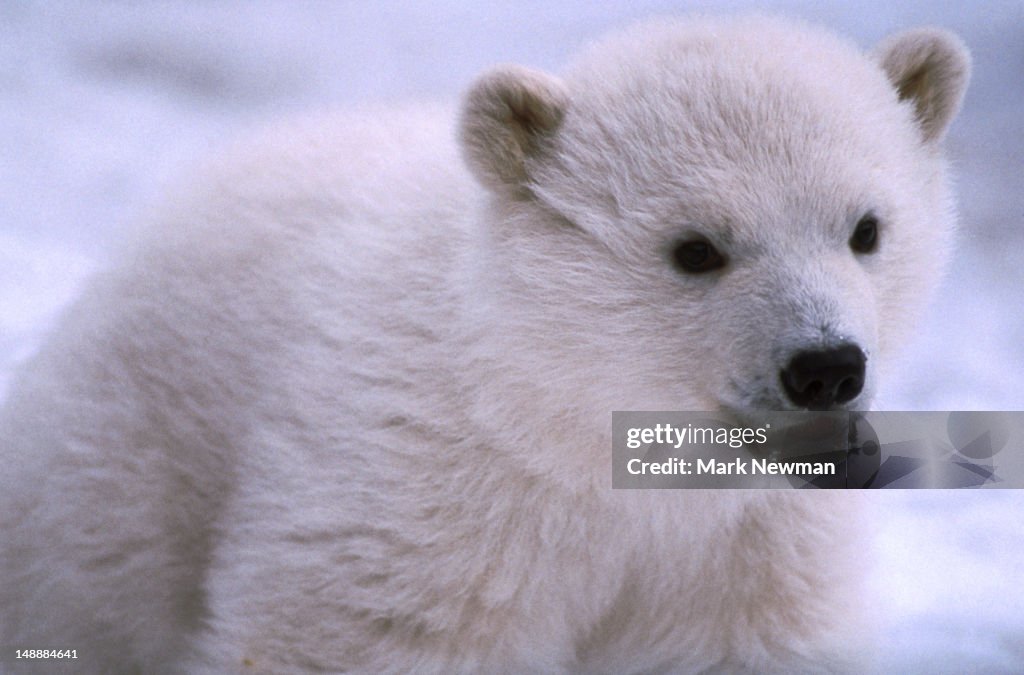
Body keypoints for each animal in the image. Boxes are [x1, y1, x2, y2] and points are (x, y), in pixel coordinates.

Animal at [0, 15, 969, 674]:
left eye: (866, 228)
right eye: (695, 248)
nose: (825, 367)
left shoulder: (749, 539)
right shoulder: (423, 492)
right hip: (123, 468)